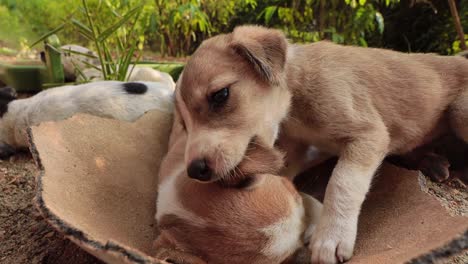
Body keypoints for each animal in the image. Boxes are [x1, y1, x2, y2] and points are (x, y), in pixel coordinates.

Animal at [173, 25, 468, 264]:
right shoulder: (294, 149)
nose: (195, 170)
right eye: (184, 125)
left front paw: (332, 237)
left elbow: (342, 183)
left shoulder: (369, 135)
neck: (297, 97)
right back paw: (434, 162)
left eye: (220, 95)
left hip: (459, 112)